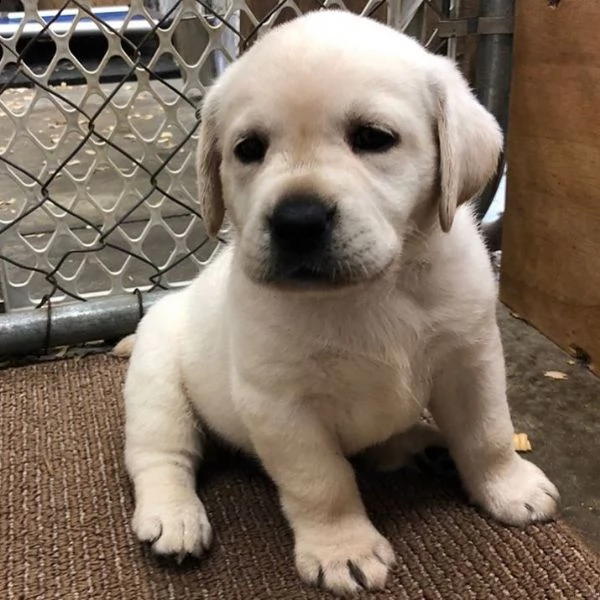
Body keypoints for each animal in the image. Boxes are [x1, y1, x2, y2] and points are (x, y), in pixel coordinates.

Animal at [124, 11, 560, 596]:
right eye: (248, 149)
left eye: (374, 138)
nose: (297, 221)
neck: (373, 290)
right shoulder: (280, 405)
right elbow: (323, 482)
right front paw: (342, 549)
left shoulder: (472, 359)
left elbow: (488, 432)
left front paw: (508, 487)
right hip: (157, 385)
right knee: (161, 455)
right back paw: (175, 517)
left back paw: (418, 444)